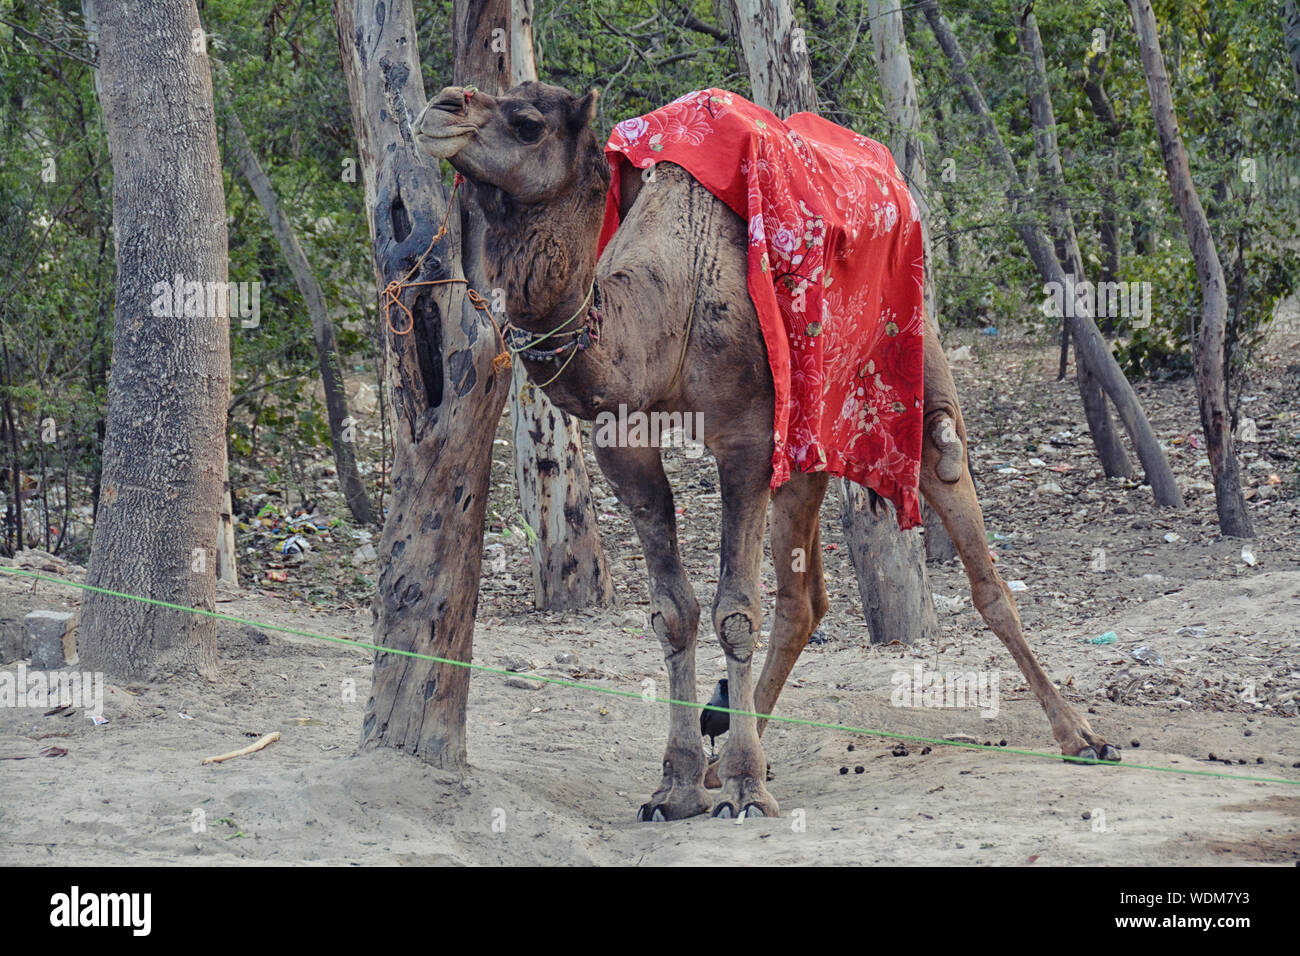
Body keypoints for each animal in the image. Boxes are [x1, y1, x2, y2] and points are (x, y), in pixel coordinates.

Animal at [415, 80, 1119, 821]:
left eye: (528, 121)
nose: (442, 106)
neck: (668, 305)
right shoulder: (624, 442)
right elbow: (674, 613)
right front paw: (676, 786)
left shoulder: (746, 439)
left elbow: (735, 611)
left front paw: (747, 790)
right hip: (806, 444)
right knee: (805, 600)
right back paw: (721, 759)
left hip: (915, 375)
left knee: (975, 551)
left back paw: (1080, 735)